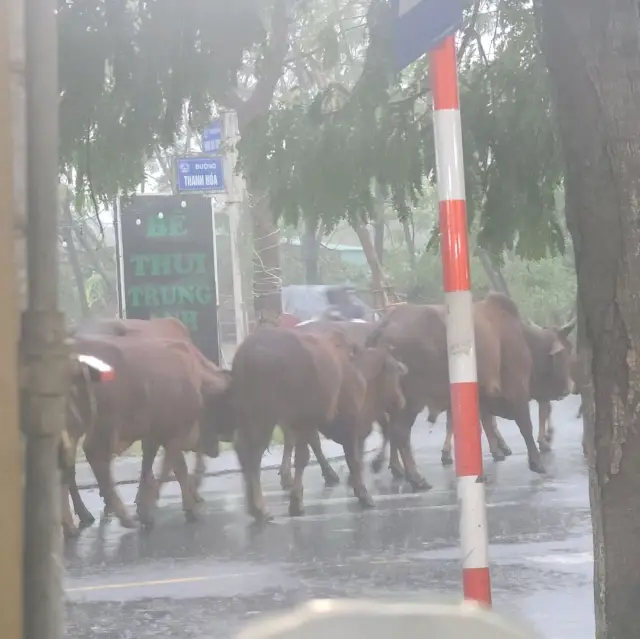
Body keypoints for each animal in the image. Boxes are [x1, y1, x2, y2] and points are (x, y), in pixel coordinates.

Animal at [70, 336, 229, 528]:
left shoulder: (158, 435)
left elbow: (158, 468)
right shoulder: (173, 435)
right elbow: (171, 470)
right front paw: (151, 510)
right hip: (105, 427)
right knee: (95, 456)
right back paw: (123, 517)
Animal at [230, 328, 404, 524]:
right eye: (395, 372)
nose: (401, 401)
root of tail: (249, 352)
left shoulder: (308, 425)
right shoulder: (339, 422)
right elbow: (346, 458)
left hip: (250, 419)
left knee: (245, 453)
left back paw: (254, 507)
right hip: (264, 418)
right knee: (253, 455)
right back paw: (260, 508)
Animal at [364, 292, 576, 488]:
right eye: (566, 352)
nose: (568, 389)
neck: (525, 340)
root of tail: (382, 326)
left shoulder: (483, 398)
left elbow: (484, 427)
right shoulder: (517, 391)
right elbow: (525, 425)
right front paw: (536, 462)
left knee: (392, 432)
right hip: (411, 400)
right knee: (400, 433)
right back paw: (416, 478)